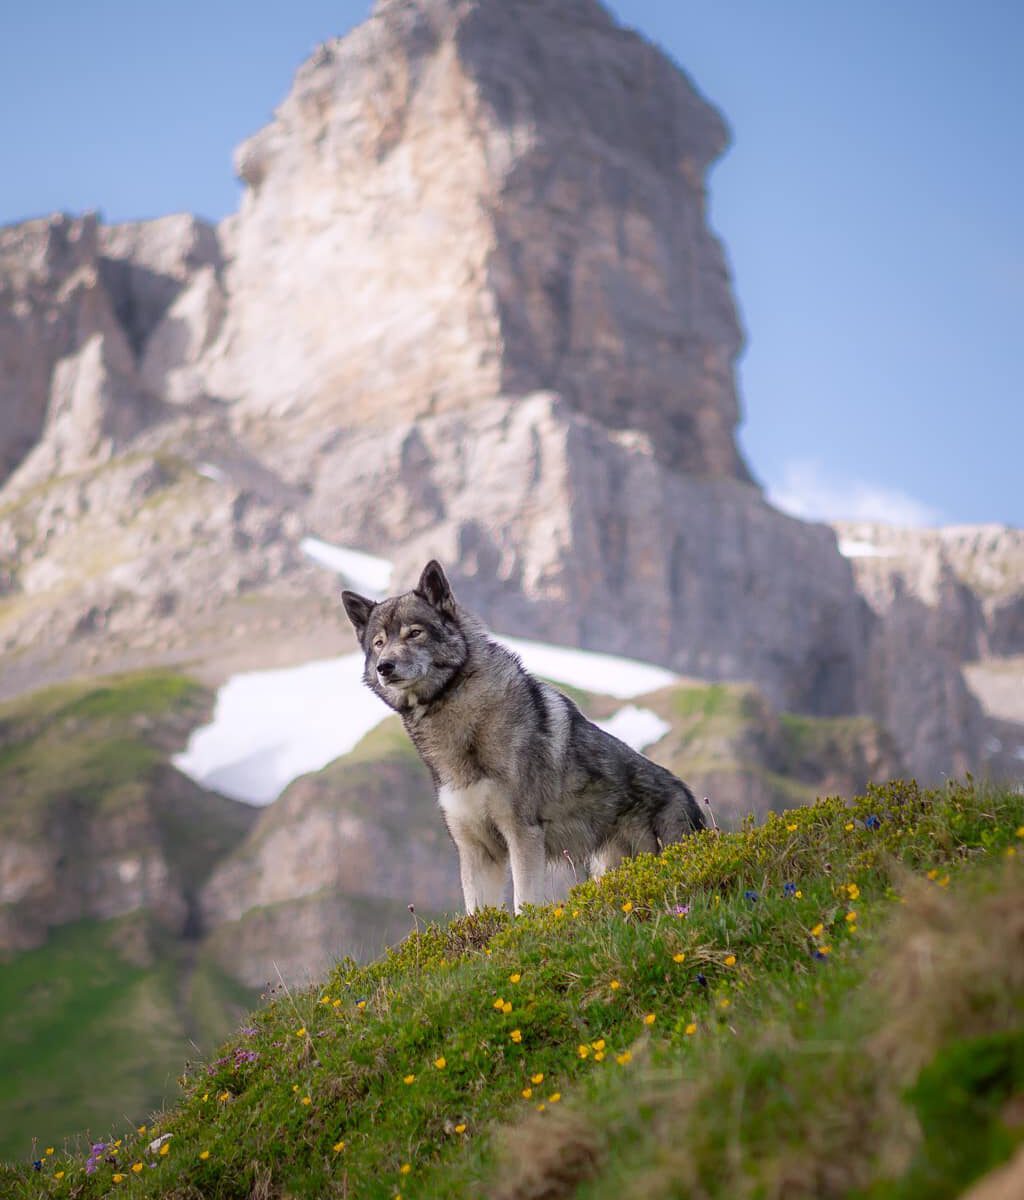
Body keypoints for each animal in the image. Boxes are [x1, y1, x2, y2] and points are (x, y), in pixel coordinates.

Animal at [340, 559, 701, 907]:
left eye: (414, 633)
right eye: (379, 643)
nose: (384, 667)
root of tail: (690, 799)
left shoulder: (522, 833)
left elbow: (523, 904)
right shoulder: (476, 849)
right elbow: (478, 915)